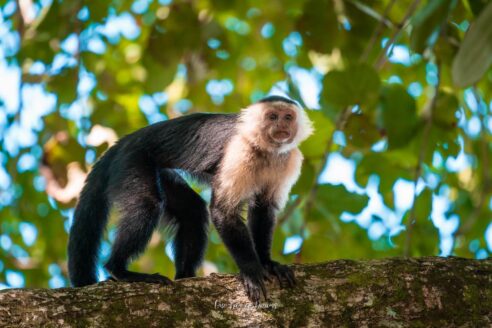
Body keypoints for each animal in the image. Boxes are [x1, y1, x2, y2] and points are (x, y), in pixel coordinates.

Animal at [67, 94, 314, 300]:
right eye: (272, 117)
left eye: (288, 117)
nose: (282, 126)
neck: (265, 150)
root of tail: (125, 140)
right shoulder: (238, 151)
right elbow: (223, 211)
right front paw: (252, 270)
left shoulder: (289, 160)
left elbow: (264, 209)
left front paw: (267, 263)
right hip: (133, 161)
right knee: (147, 205)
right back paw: (119, 270)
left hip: (158, 172)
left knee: (193, 212)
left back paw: (185, 275)